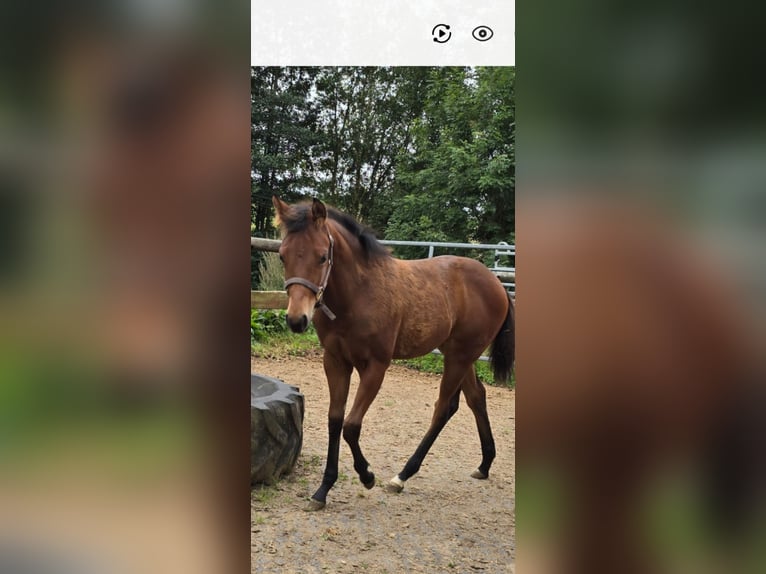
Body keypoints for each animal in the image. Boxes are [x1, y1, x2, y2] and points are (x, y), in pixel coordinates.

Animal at [272, 196, 514, 511]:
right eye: (282, 256)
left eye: (322, 256)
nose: (296, 320)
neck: (359, 293)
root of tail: (497, 283)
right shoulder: (335, 362)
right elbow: (335, 420)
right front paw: (323, 489)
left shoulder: (376, 366)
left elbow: (351, 425)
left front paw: (367, 476)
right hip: (460, 354)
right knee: (475, 398)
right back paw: (484, 464)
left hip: (460, 356)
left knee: (443, 408)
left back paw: (402, 476)